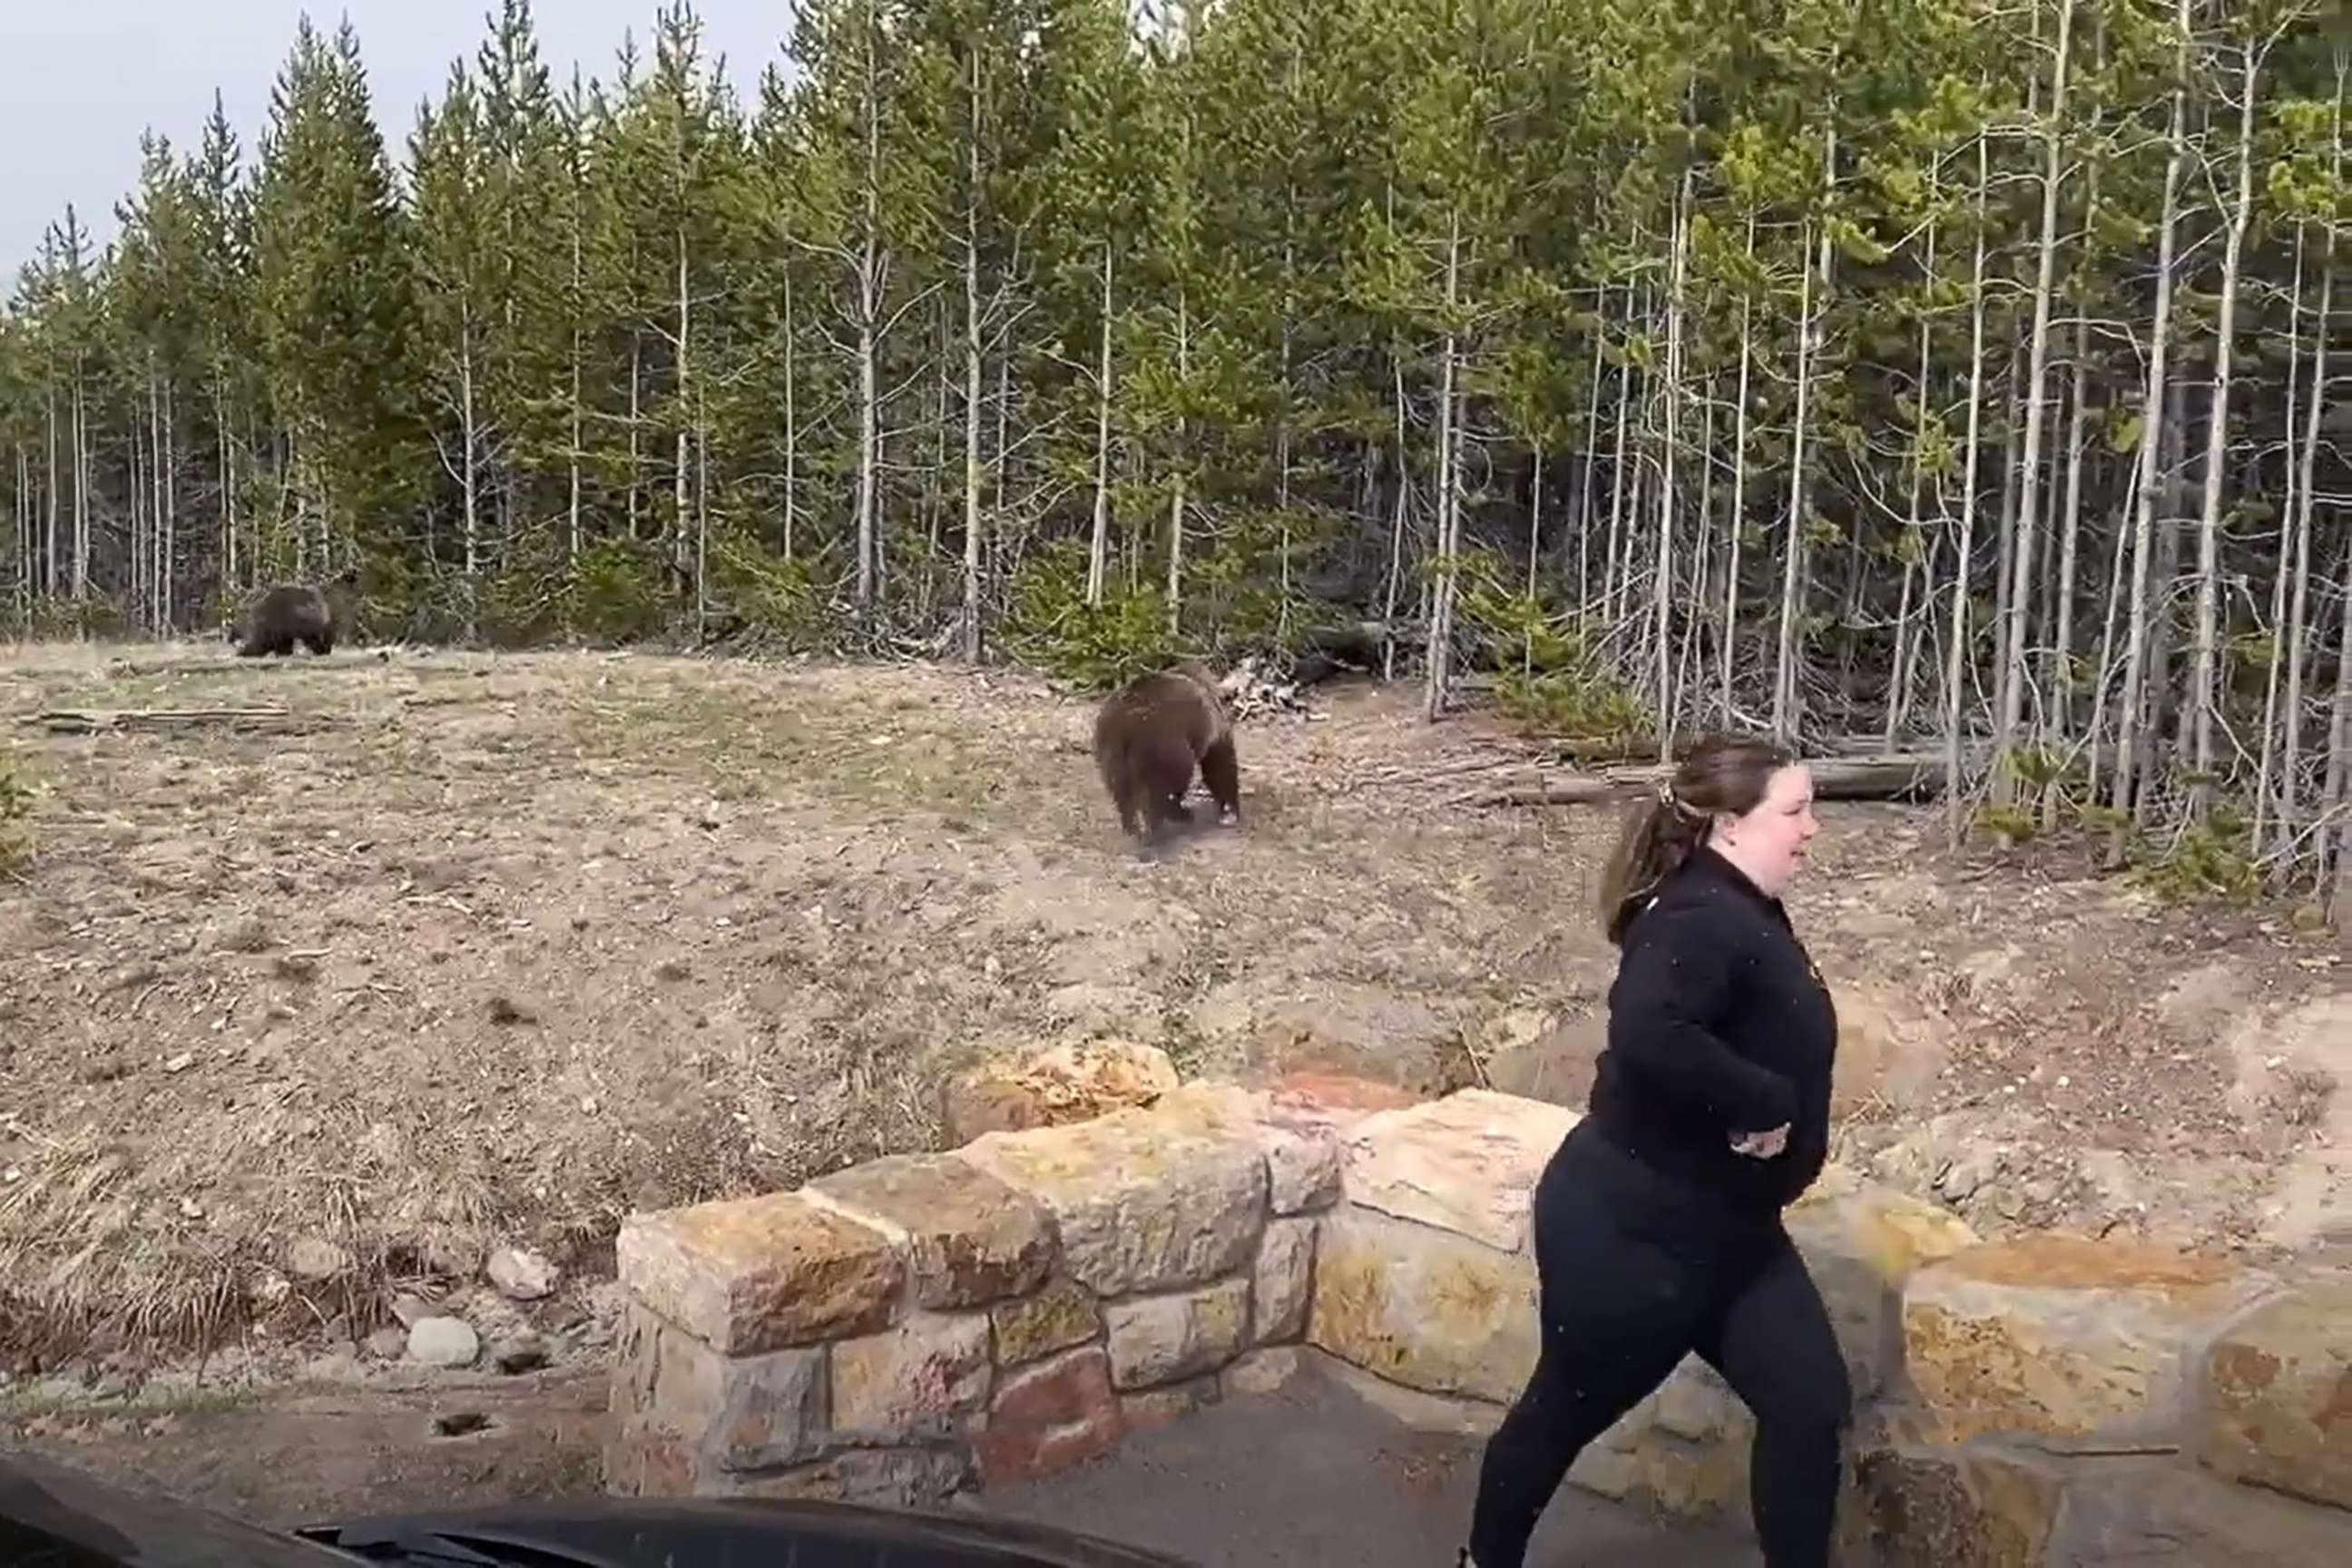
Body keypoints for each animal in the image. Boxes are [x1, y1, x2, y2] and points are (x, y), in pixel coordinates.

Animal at [1091, 667, 1241, 860]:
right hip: (1163, 743)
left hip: (1110, 751)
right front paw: (1232, 810)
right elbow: (1220, 766)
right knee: (1164, 787)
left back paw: (1133, 829)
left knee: (1123, 792)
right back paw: (1164, 824)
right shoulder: (1211, 727)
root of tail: (1125, 727)